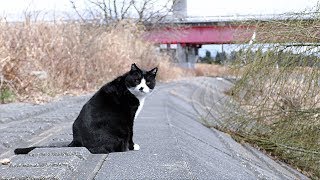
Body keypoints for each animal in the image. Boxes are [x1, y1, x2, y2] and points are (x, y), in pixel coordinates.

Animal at [15, 63, 158, 153]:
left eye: (148, 82)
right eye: (137, 80)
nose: (142, 88)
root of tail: (76, 141)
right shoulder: (129, 118)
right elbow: (131, 133)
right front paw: (133, 146)